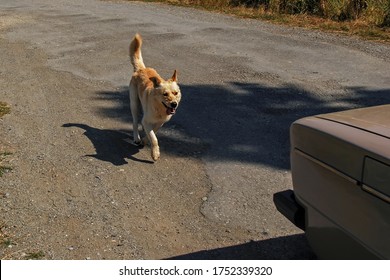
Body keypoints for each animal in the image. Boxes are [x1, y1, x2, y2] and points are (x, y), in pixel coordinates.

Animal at [129, 34, 181, 162]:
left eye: (175, 93)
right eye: (165, 94)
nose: (174, 104)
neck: (159, 109)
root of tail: (141, 69)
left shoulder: (160, 123)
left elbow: (153, 133)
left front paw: (145, 140)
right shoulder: (147, 120)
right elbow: (154, 138)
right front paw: (155, 153)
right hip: (134, 104)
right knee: (135, 122)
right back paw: (136, 137)